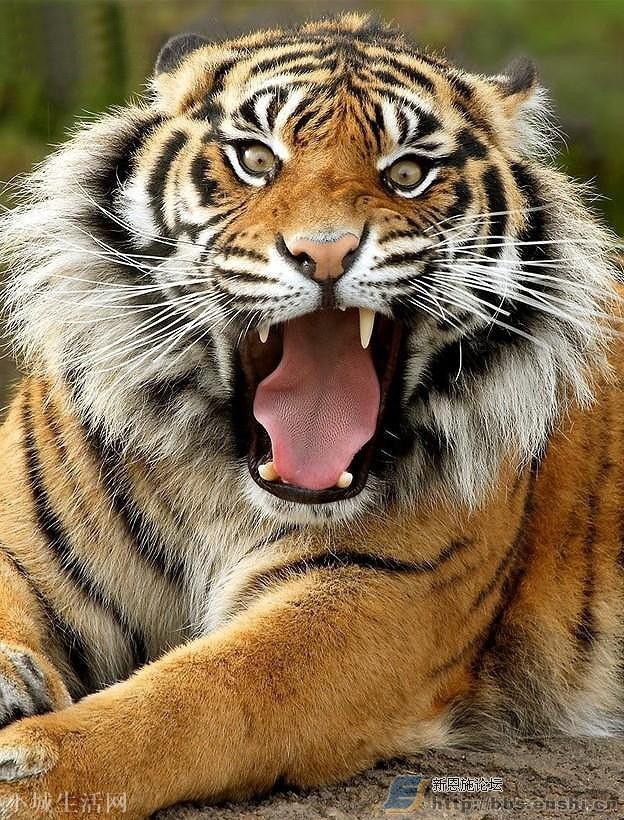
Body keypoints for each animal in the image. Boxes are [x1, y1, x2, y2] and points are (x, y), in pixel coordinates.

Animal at [0, 11, 621, 819]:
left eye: (407, 172)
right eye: (256, 159)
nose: (324, 254)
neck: (221, 477)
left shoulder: (378, 595)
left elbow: (202, 693)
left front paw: (27, 762)